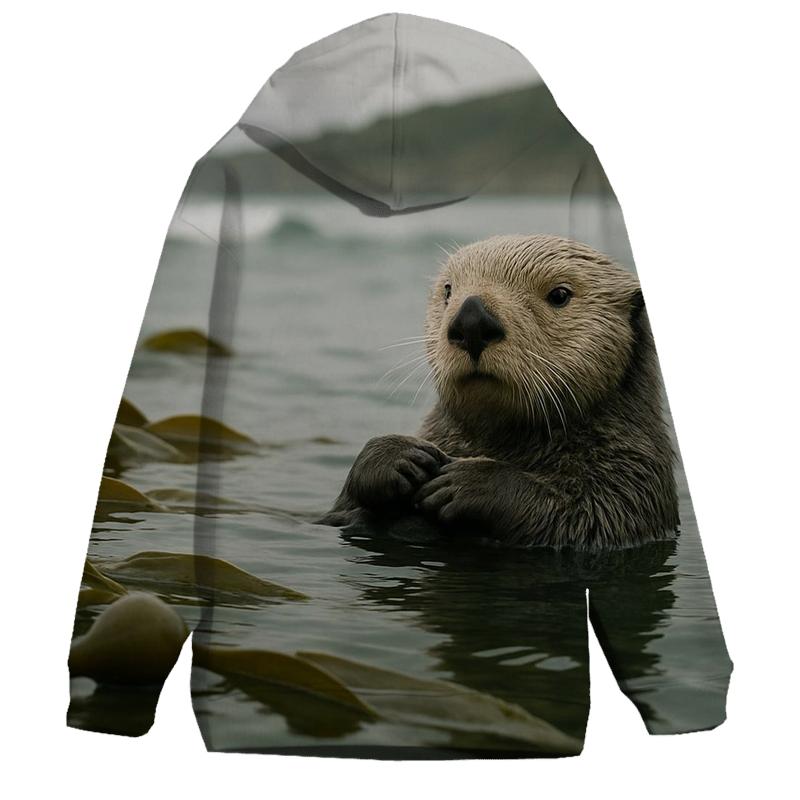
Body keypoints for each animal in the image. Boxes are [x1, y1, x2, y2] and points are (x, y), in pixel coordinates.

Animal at [321, 234, 679, 550]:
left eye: (560, 295)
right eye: (448, 290)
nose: (472, 320)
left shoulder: (634, 480)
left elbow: (586, 519)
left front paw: (469, 482)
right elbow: (339, 514)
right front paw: (396, 455)